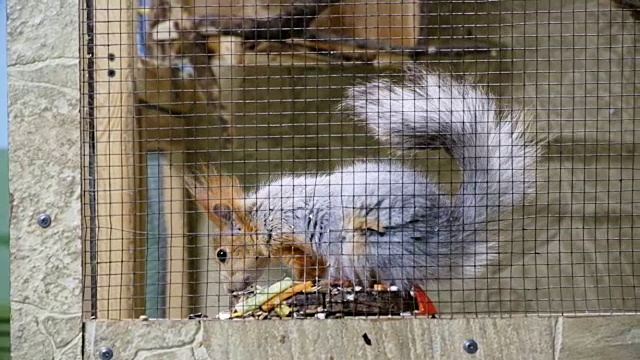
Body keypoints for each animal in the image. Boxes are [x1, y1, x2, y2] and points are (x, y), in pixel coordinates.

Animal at [185, 67, 540, 292]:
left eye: (221, 254)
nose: (231, 290)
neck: (257, 217)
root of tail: (449, 240)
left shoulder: (297, 232)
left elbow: (311, 265)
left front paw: (305, 283)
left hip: (369, 244)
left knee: (389, 279)